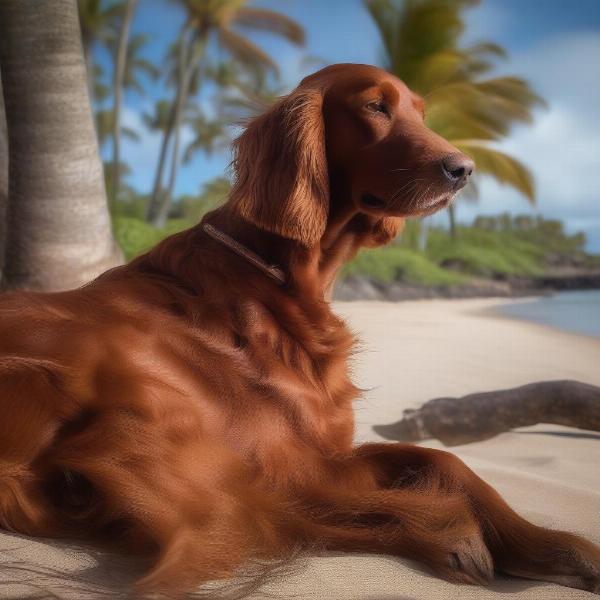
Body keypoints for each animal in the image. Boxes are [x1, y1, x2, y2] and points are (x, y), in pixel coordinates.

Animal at [0, 63, 596, 596]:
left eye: (421, 114)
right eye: (375, 107)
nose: (464, 169)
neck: (282, 280)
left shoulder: (325, 451)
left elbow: (443, 458)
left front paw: (549, 546)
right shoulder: (282, 460)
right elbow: (324, 497)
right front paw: (458, 528)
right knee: (275, 511)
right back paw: (447, 532)